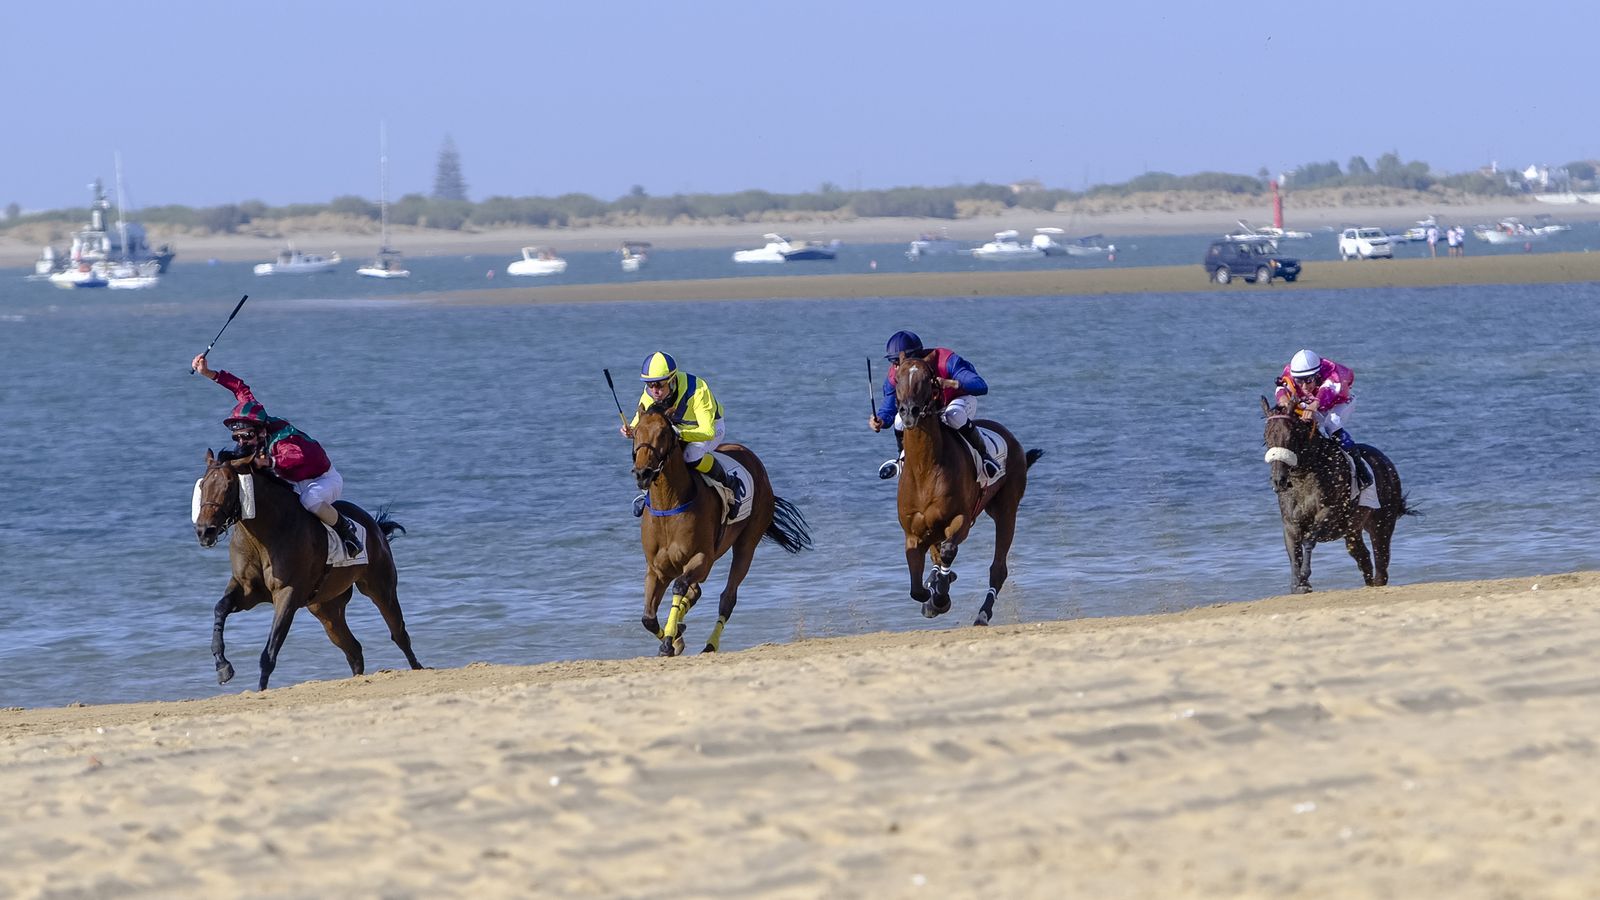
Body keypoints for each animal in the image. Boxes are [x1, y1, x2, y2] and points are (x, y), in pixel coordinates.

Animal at [193, 449, 424, 690]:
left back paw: (418, 668)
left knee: (399, 633)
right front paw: (222, 666)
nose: (204, 530)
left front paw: (260, 688)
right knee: (353, 649)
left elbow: (269, 652)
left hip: (380, 587)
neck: (263, 534)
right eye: (203, 485)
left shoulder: (288, 593)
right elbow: (220, 608)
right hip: (326, 608)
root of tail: (375, 526)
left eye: (229, 485)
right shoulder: (247, 590)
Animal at [630, 404, 813, 657]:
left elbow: (680, 586)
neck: (669, 506)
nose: (643, 473)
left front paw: (669, 640)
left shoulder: (702, 558)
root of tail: (751, 457)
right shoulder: (656, 569)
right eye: (636, 432)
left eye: (663, 433)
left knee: (728, 597)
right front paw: (675, 639)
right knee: (695, 593)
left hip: (747, 544)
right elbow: (648, 618)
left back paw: (710, 645)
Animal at [893, 355, 1043, 625]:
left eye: (927, 378)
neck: (925, 469)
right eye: (897, 378)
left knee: (998, 568)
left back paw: (982, 614)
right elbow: (917, 589)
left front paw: (941, 597)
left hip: (1006, 510)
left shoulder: (961, 519)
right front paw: (932, 595)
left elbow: (948, 552)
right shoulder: (913, 534)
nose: (909, 412)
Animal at [1259, 397, 1414, 594]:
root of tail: (1386, 462)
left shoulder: (1328, 513)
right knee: (1363, 557)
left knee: (1381, 562)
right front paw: (1297, 584)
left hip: (1381, 525)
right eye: (1267, 438)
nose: (1279, 480)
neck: (1306, 475)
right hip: (1352, 531)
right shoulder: (1290, 523)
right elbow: (1294, 551)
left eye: (1290, 437)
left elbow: (1308, 540)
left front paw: (1305, 578)